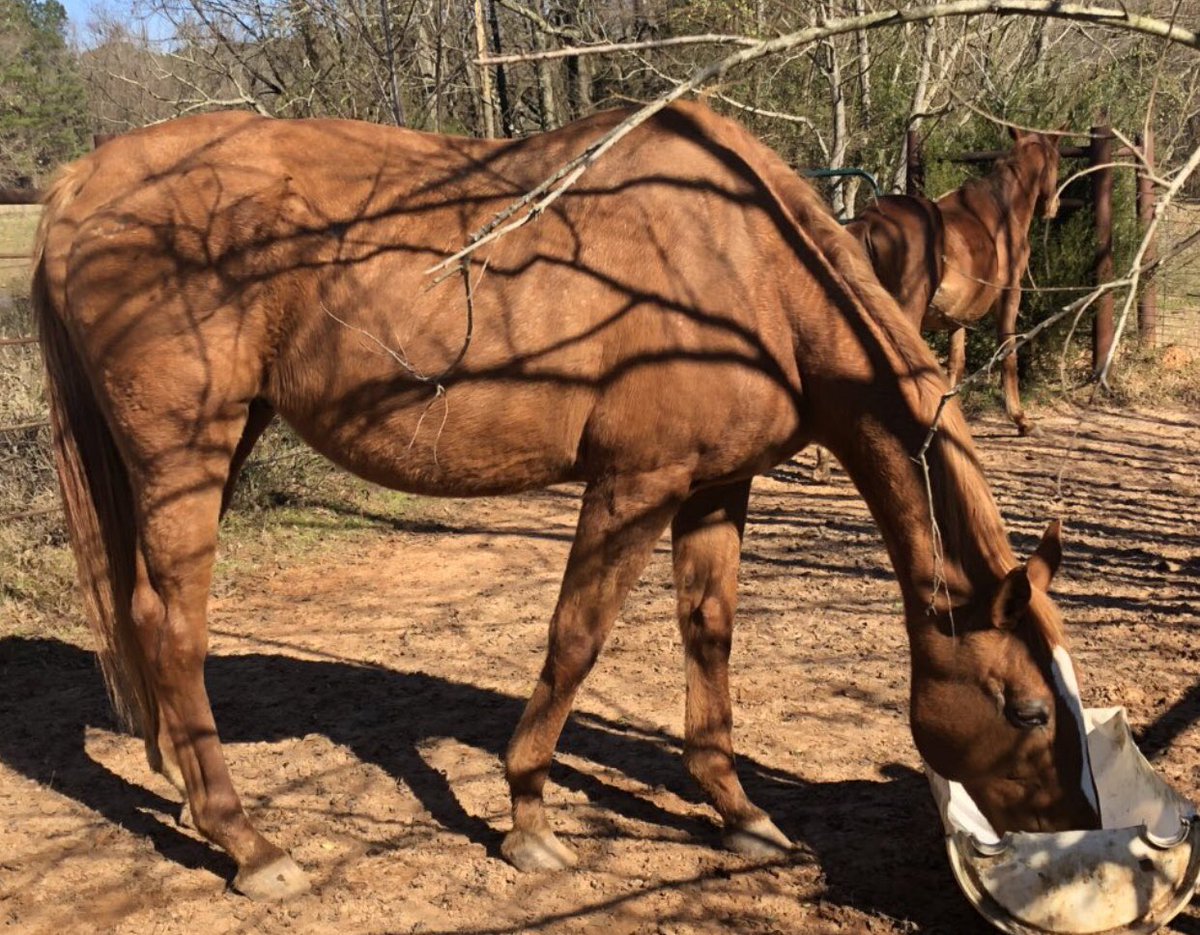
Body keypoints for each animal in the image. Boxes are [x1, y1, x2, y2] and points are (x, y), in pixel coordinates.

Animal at [849, 126, 1065, 436]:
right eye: (1057, 160)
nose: (1053, 206)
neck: (1003, 211)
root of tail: (870, 220)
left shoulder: (957, 317)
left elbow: (955, 364)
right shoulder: (1011, 293)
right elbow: (1008, 351)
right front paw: (1021, 419)